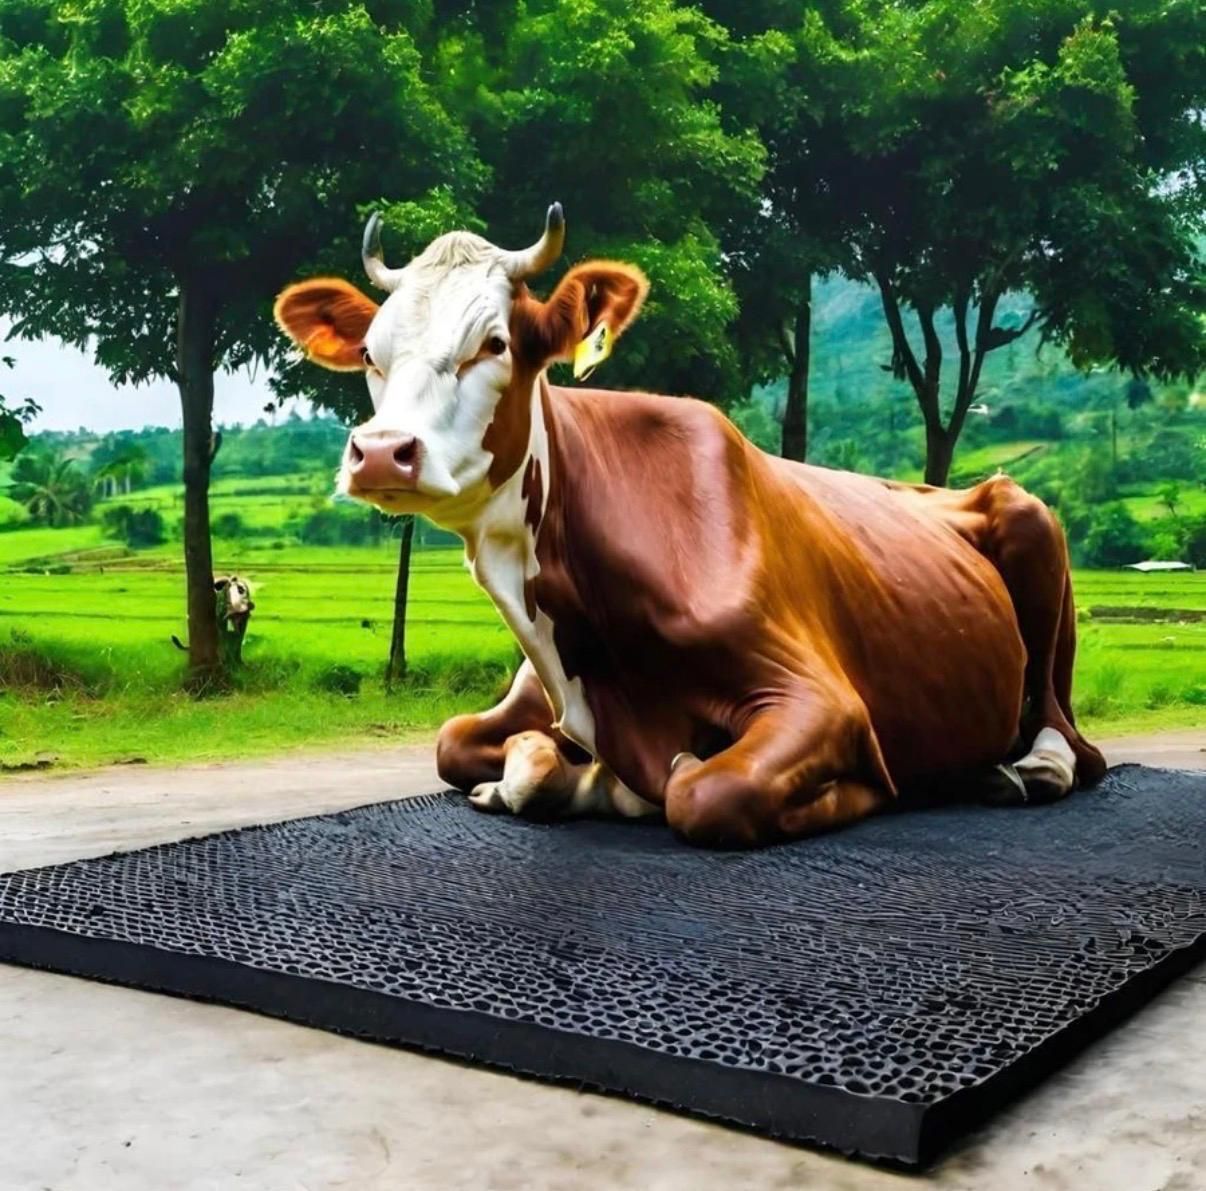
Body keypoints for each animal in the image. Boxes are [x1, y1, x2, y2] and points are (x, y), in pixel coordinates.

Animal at [274, 205, 1106, 848]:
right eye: (372, 354)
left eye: (494, 343)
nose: (382, 451)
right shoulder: (540, 693)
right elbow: (458, 743)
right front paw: (549, 776)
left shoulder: (822, 699)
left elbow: (705, 792)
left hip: (1033, 526)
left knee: (1068, 734)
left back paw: (1023, 767)